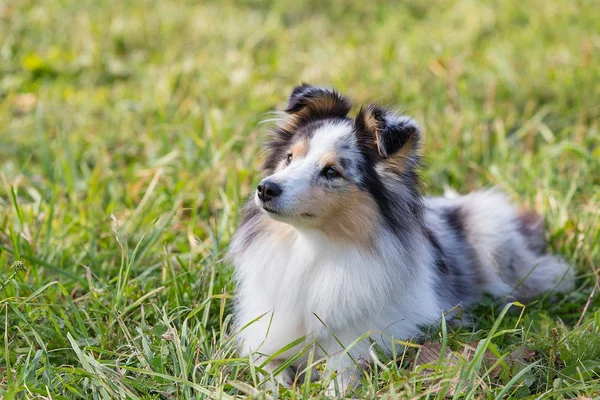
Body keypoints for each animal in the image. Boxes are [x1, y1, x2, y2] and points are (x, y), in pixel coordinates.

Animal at [227, 84, 576, 396]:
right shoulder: (267, 334)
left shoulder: (361, 339)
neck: (313, 247)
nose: (266, 189)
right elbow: (266, 369)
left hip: (491, 234)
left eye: (331, 172)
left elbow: (342, 371)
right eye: (289, 158)